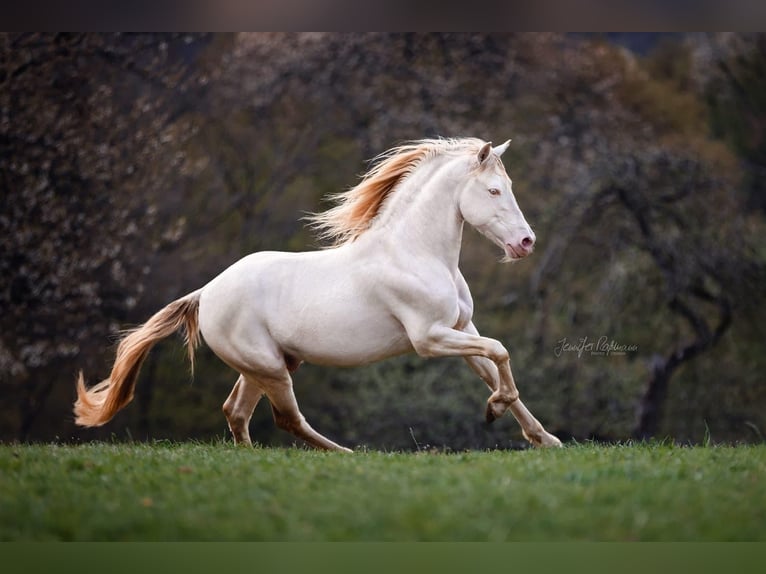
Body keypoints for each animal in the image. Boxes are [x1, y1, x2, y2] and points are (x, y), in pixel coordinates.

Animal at [73, 137, 564, 452]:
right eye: (494, 190)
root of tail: (206, 292)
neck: (417, 253)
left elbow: (495, 366)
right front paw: (495, 409)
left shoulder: (462, 329)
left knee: (236, 412)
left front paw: (543, 437)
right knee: (286, 418)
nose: (526, 243)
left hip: (266, 365)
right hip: (270, 368)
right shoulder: (430, 338)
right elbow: (501, 352)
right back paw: (350, 455)